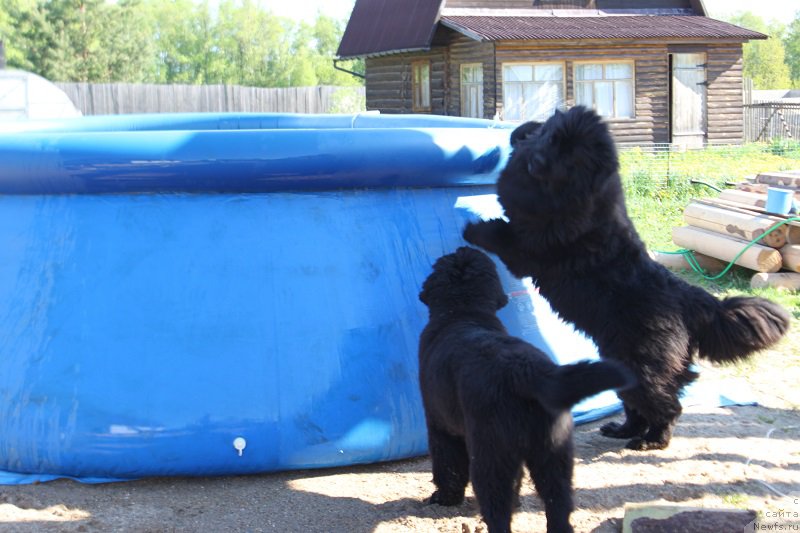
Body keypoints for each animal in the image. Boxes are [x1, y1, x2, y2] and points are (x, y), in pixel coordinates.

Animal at [416, 247, 636, 532]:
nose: (463, 248)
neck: (463, 311)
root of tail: (524, 371)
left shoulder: (440, 426)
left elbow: (447, 467)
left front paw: (444, 498)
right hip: (554, 453)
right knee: (558, 503)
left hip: (492, 455)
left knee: (496, 505)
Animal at [466, 106, 792, 450]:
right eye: (551, 137)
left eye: (567, 154)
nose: (537, 157)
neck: (582, 196)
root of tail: (691, 299)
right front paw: (521, 133)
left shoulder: (531, 249)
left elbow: (505, 230)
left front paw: (474, 228)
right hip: (623, 366)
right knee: (639, 406)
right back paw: (622, 430)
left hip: (643, 366)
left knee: (666, 405)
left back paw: (651, 441)